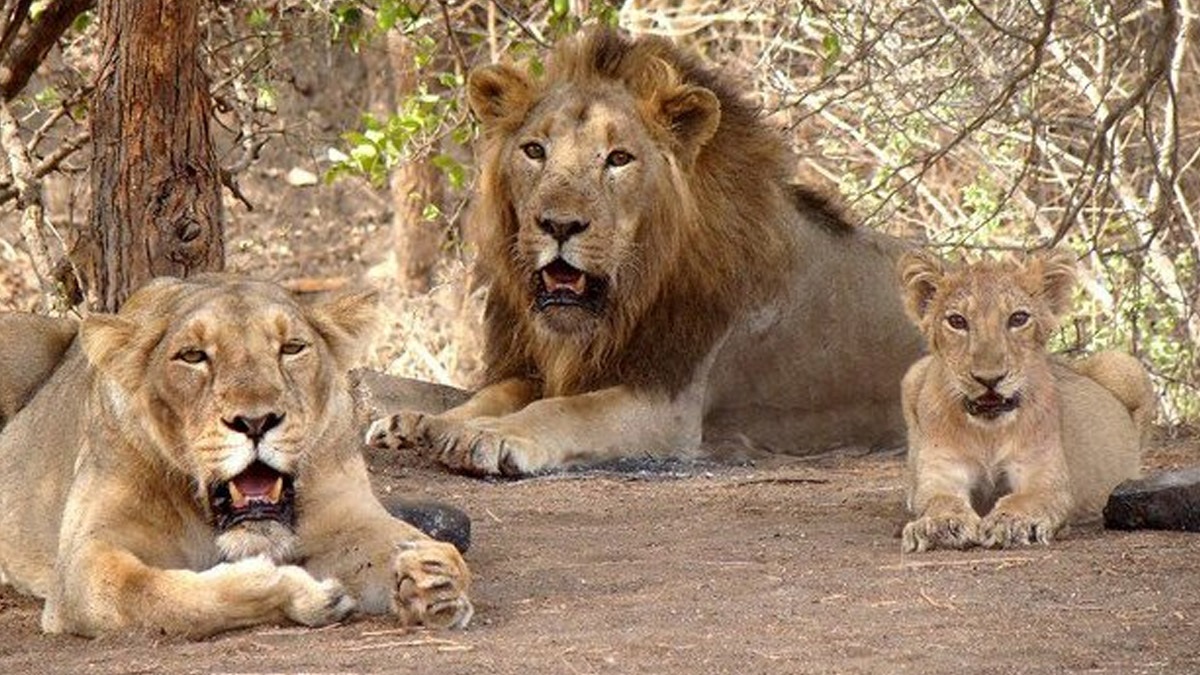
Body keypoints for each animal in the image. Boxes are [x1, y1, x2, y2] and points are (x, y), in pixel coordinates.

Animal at [0, 276, 473, 638]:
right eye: (193, 356)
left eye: (292, 348)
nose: (256, 421)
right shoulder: (83, 562)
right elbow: (161, 598)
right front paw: (297, 592)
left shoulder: (346, 515)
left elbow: (409, 544)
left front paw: (433, 577)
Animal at [366, 27, 925, 475]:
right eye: (534, 150)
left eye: (618, 159)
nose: (559, 224)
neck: (624, 301)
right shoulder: (541, 366)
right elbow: (491, 393)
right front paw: (421, 422)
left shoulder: (669, 404)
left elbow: (566, 410)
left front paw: (488, 435)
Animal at [897, 249, 1154, 552]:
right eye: (957, 321)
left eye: (1018, 318)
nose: (989, 379)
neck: (988, 433)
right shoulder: (941, 473)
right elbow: (940, 499)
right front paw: (939, 524)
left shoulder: (1045, 478)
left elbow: (1025, 499)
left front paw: (1013, 523)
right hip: (913, 374)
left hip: (1123, 364)